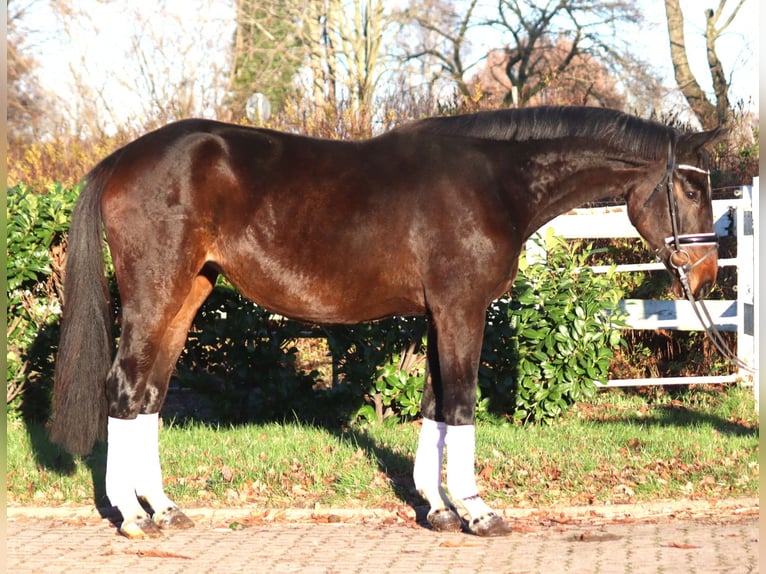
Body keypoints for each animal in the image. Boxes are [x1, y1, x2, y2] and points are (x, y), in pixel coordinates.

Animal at [51, 107, 724, 540]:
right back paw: (133, 516)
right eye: (692, 191)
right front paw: (477, 511)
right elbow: (462, 403)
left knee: (150, 395)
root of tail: (122, 158)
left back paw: (164, 509)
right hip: (154, 293)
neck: (492, 181)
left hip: (187, 295)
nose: (707, 277)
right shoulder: (462, 309)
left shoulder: (438, 314)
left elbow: (433, 405)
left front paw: (439, 509)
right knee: (124, 389)